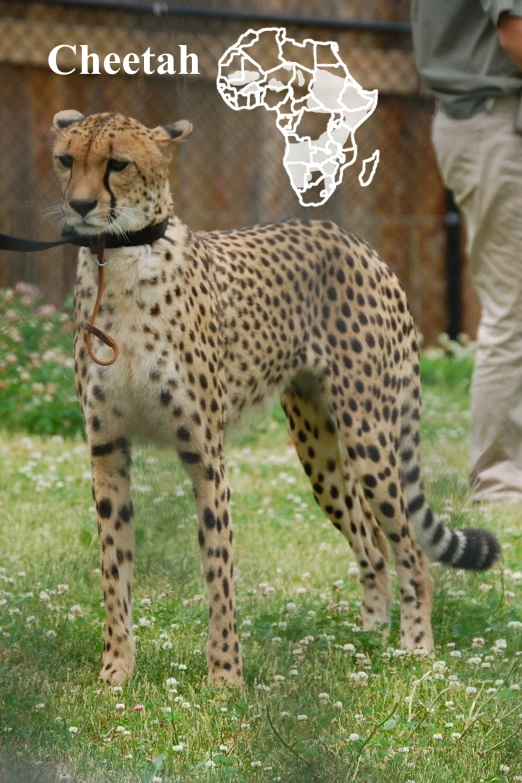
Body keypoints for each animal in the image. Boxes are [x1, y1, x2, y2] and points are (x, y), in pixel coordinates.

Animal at [50, 110, 498, 688]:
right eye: (66, 159)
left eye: (117, 164)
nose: (81, 206)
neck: (124, 255)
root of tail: (352, 239)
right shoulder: (107, 450)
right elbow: (114, 571)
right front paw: (115, 672)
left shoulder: (205, 454)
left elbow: (218, 573)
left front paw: (225, 678)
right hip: (319, 453)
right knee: (373, 545)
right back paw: (367, 642)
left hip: (369, 440)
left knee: (411, 551)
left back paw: (416, 649)